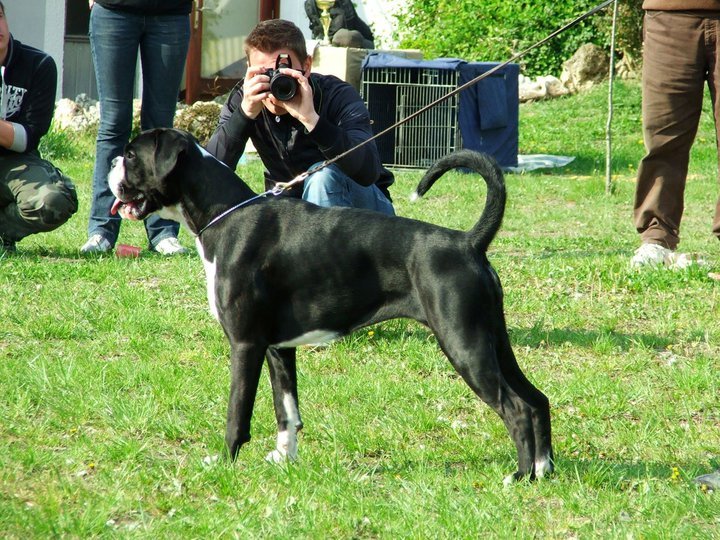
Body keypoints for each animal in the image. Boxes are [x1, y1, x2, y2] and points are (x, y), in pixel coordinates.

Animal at [109, 129, 556, 484]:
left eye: (132, 155)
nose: (113, 160)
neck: (226, 216)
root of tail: (467, 242)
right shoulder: (278, 349)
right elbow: (286, 409)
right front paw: (283, 459)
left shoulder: (245, 345)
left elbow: (238, 413)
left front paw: (223, 463)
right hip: (493, 342)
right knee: (537, 400)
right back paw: (542, 469)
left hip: (464, 345)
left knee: (516, 408)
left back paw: (518, 476)